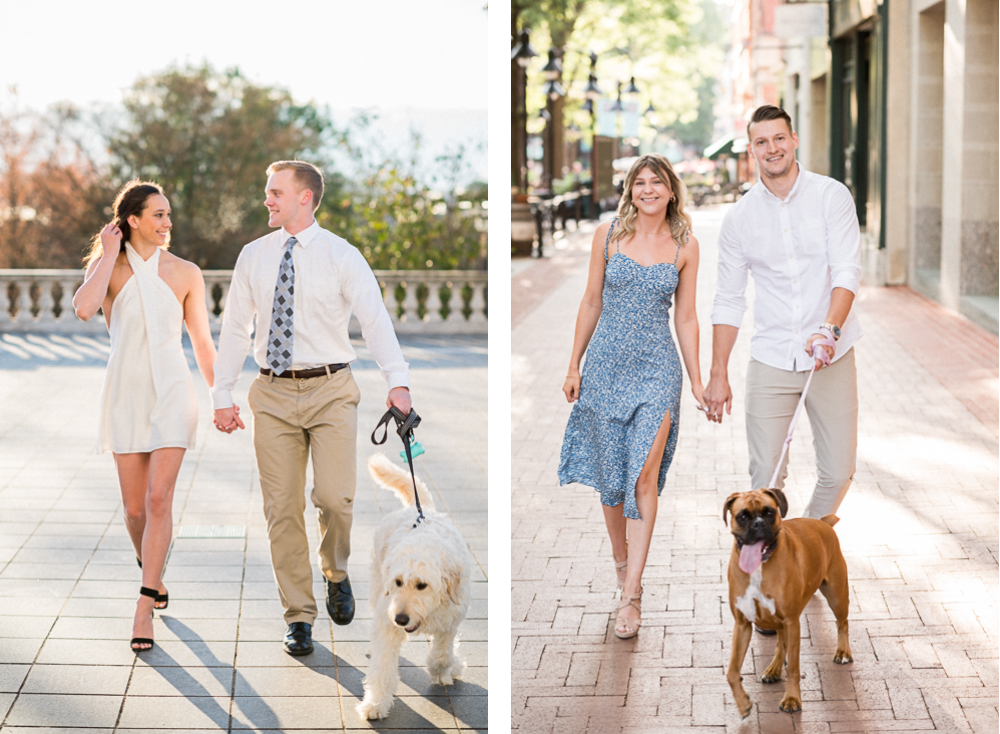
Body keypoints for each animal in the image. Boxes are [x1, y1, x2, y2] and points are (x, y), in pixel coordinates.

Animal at [356, 458, 472, 720]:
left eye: (422, 585)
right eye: (398, 582)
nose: (401, 618)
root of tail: (419, 509)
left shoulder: (450, 622)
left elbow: (442, 654)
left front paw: (444, 670)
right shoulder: (386, 622)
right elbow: (382, 667)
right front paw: (376, 703)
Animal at [720, 488, 852, 720]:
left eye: (769, 512)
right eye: (742, 516)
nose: (758, 524)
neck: (759, 568)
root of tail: (823, 523)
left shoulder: (792, 622)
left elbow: (793, 669)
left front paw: (791, 699)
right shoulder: (742, 625)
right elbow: (732, 671)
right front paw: (743, 703)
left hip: (836, 595)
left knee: (842, 622)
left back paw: (843, 652)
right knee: (780, 643)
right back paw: (773, 669)